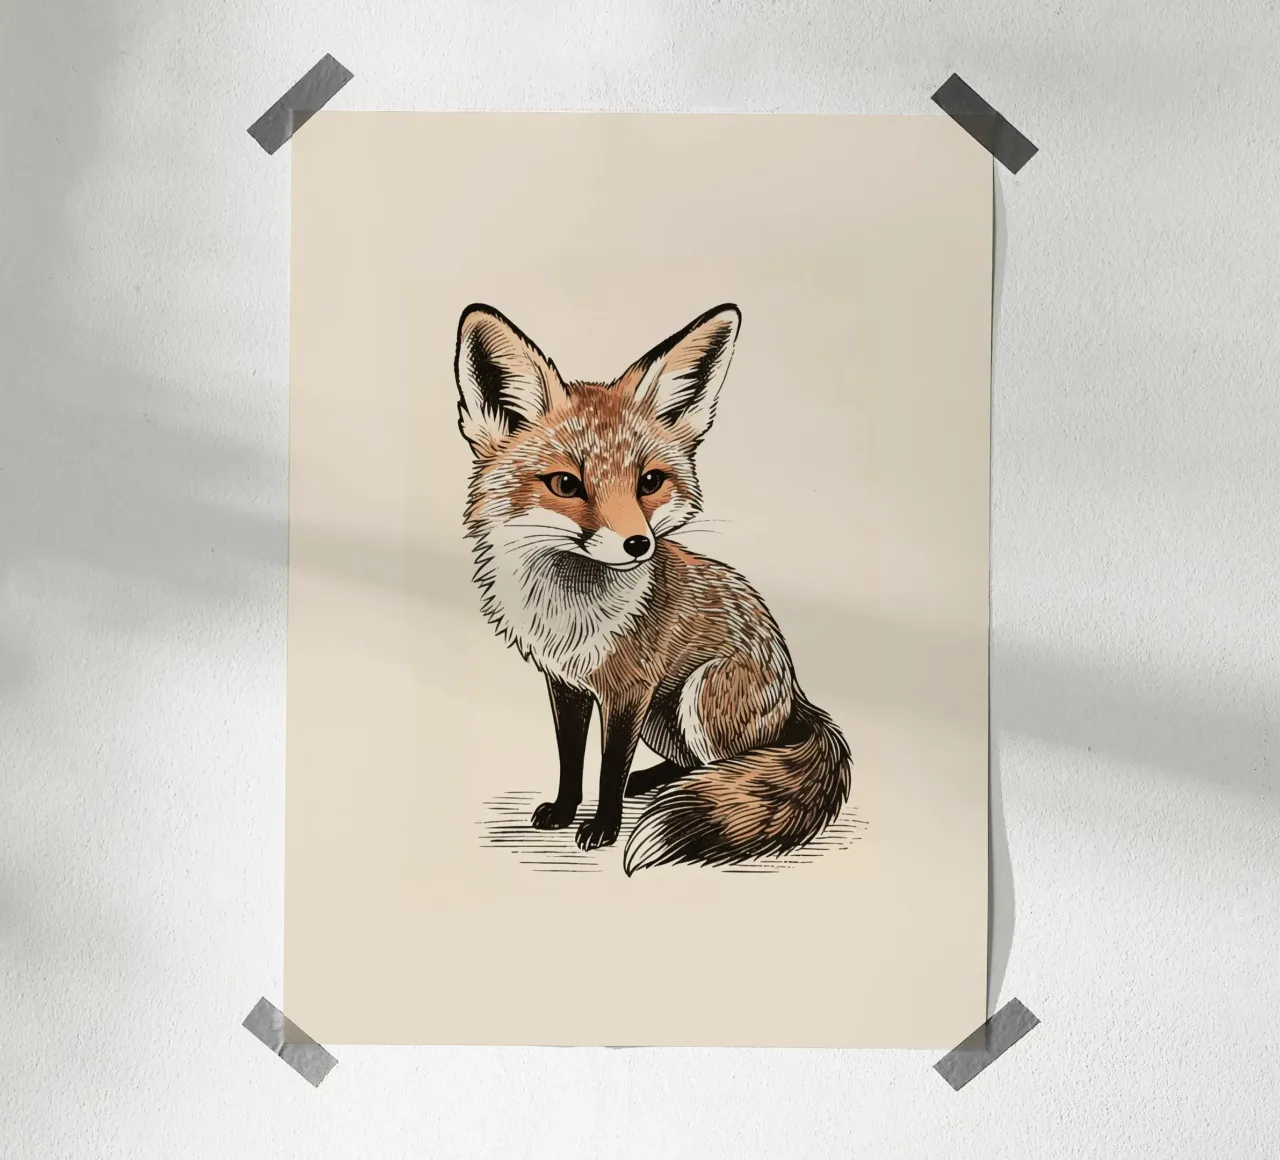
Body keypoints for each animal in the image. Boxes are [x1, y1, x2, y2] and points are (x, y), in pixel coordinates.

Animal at [453, 301, 851, 874]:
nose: (638, 544)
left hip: (698, 693)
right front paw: (565, 811)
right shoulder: (567, 684)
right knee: (693, 764)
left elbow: (608, 768)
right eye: (566, 484)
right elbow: (571, 757)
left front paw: (602, 827)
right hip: (664, 720)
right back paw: (655, 782)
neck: (569, 612)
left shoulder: (629, 689)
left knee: (736, 767)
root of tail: (798, 695)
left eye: (649, 482)